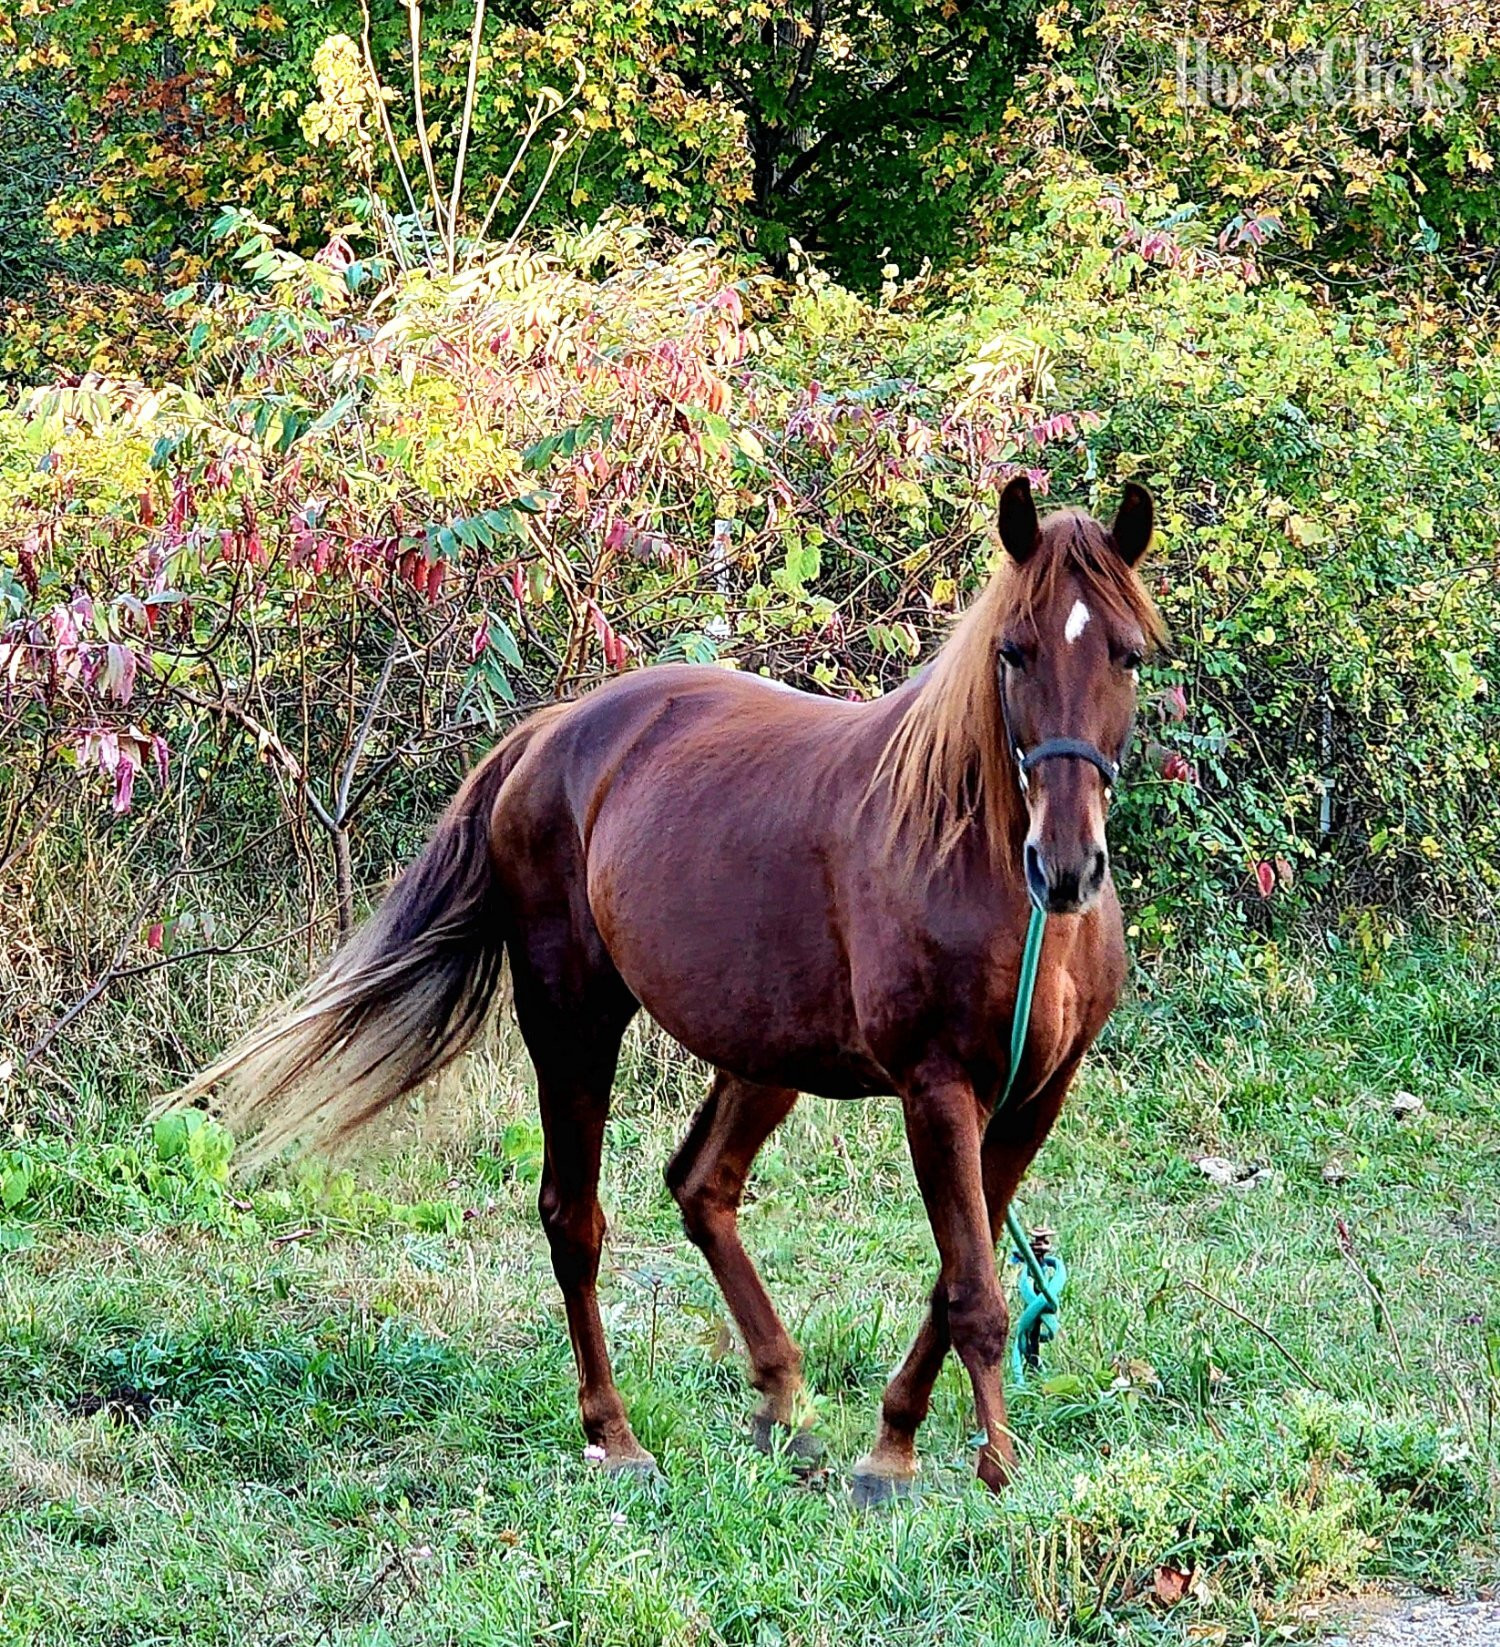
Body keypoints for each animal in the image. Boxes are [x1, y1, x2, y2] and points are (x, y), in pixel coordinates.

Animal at [180, 475, 1163, 1503]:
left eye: (1128, 653)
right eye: (1013, 651)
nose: (1067, 866)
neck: (972, 857)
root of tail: (549, 735)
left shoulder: (1033, 1098)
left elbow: (950, 1275)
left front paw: (897, 1439)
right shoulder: (938, 1090)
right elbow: (974, 1288)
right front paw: (966, 1464)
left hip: (763, 1053)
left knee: (700, 1186)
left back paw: (783, 1401)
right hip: (573, 1021)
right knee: (574, 1218)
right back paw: (615, 1434)